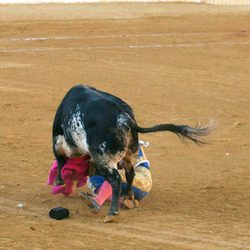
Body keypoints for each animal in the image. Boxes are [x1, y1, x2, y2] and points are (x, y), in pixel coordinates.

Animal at [51, 85, 214, 222]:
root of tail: (125, 120)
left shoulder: (60, 141)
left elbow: (60, 159)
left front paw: (59, 181)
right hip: (129, 154)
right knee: (130, 174)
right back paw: (128, 197)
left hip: (105, 159)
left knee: (116, 179)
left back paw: (111, 212)